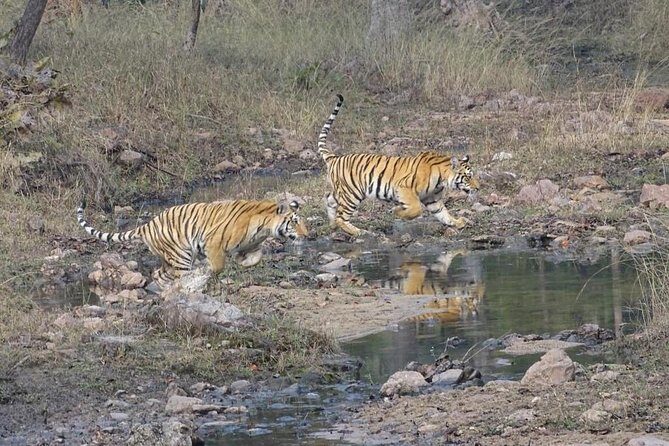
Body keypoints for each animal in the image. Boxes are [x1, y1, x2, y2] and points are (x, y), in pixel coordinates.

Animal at [77, 198, 308, 283]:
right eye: (295, 222)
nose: (307, 235)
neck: (264, 227)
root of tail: (148, 224)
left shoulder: (252, 245)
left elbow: (256, 257)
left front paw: (244, 262)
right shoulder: (213, 241)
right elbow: (217, 265)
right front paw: (207, 271)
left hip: (169, 259)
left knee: (158, 273)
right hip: (181, 255)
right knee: (179, 274)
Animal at [318, 94, 480, 237]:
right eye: (467, 177)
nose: (478, 188)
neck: (442, 179)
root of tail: (334, 157)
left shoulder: (432, 199)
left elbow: (444, 214)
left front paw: (457, 222)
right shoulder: (404, 187)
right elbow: (416, 209)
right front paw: (396, 211)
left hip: (342, 192)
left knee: (329, 200)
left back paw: (332, 225)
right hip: (352, 193)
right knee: (341, 217)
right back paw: (360, 232)